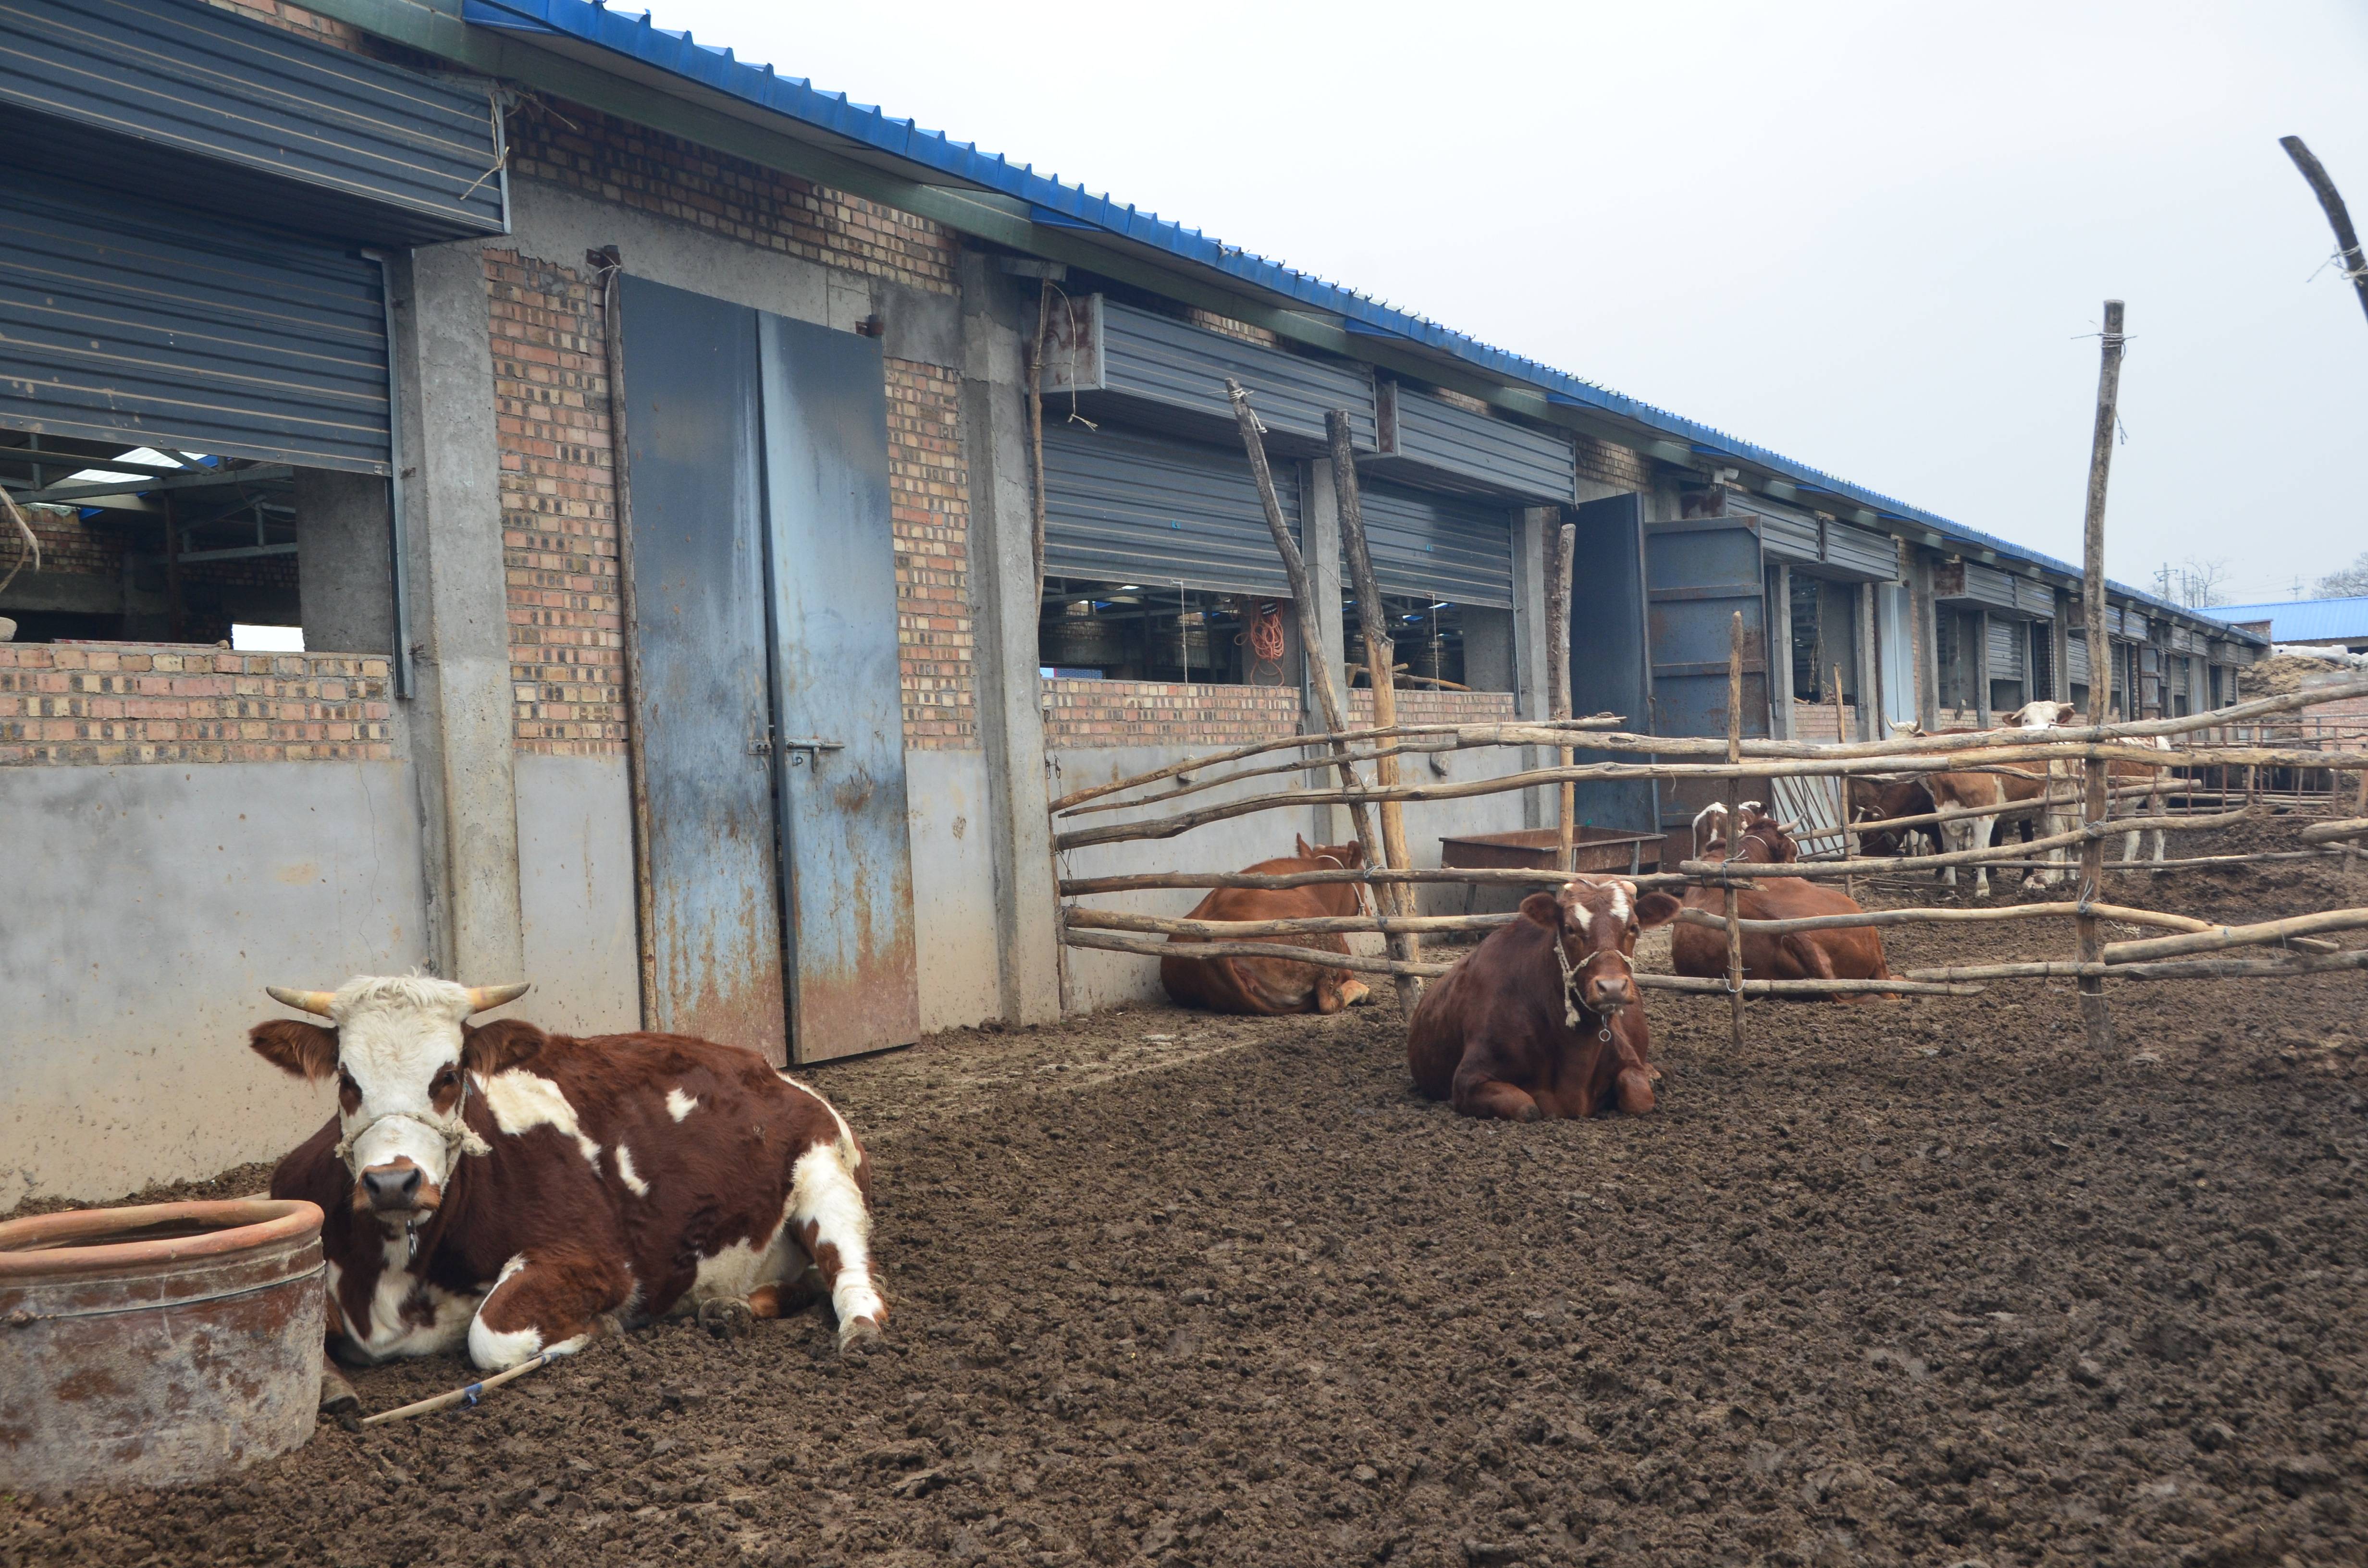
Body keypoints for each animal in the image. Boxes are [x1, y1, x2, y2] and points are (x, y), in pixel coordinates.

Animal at [252, 976, 890, 1373]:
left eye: (450, 1076)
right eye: (346, 1079)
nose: (392, 1184)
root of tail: (769, 1070)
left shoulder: (599, 1260)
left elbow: (489, 1335)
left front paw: (600, 1328)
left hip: (826, 1177)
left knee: (850, 1278)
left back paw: (858, 1331)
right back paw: (729, 1309)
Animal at [1402, 876, 1686, 1123]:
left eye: (1634, 927)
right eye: (1570, 928)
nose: (1612, 987)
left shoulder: (1627, 1060)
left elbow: (1640, 1097)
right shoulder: (1468, 1079)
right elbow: (1528, 1108)